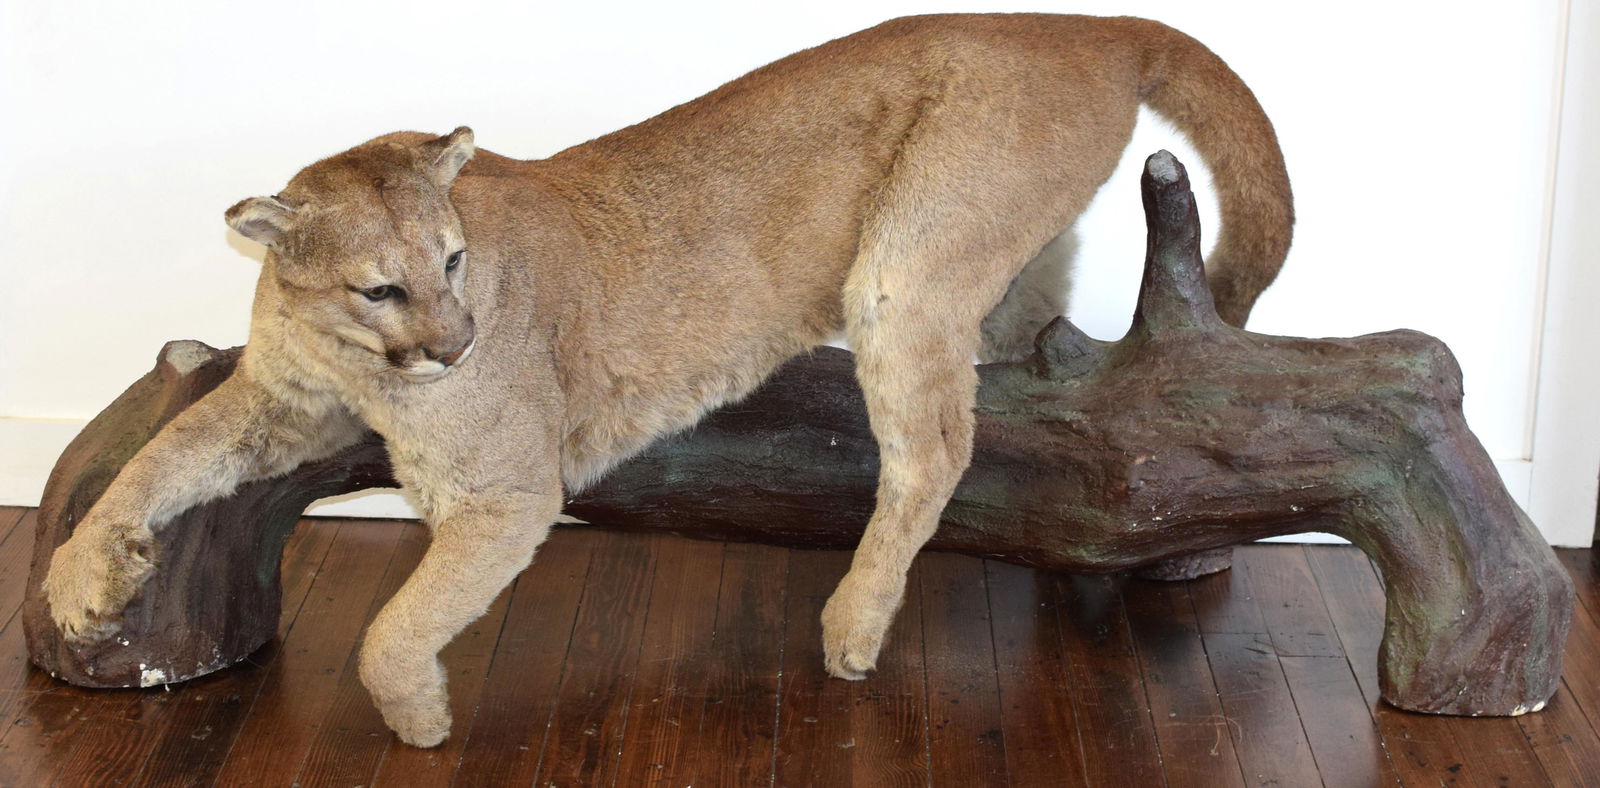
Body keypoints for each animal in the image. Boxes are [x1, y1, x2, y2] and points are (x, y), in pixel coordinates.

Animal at [42, 13, 1292, 747]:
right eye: (381, 286)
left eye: (451, 263)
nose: (456, 341)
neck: (358, 360)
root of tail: (1088, 19)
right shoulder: (275, 400)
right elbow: (163, 454)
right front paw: (81, 577)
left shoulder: (501, 493)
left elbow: (392, 626)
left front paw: (419, 715)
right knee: (1039, 348)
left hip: (904, 266)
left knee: (936, 446)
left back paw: (853, 622)